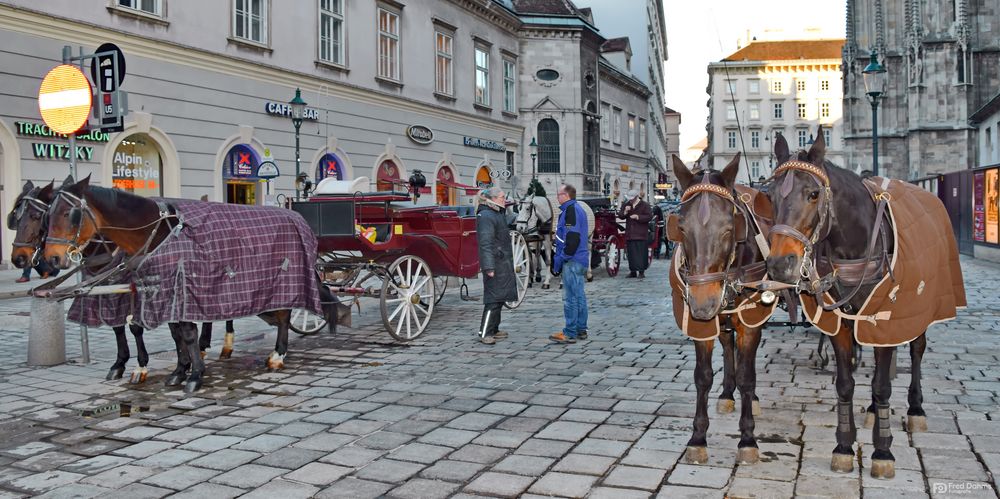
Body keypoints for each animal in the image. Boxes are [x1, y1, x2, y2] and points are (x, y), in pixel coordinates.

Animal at [43, 177, 338, 394]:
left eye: (70, 213)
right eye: (47, 215)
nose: (50, 259)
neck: (158, 233)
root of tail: (295, 216)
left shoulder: (181, 287)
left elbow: (186, 333)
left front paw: (194, 374)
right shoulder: (162, 292)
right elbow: (174, 333)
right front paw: (179, 370)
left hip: (289, 277)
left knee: (286, 313)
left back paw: (278, 354)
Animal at [668, 154, 776, 466]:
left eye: (729, 228)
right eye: (681, 228)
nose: (703, 303)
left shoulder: (751, 321)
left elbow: (748, 377)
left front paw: (748, 438)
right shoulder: (701, 325)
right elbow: (703, 377)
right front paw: (698, 437)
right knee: (728, 344)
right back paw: (728, 393)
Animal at [760, 130, 964, 480]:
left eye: (813, 193)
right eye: (771, 196)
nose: (779, 264)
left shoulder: (888, 316)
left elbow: (882, 385)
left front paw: (882, 450)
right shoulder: (842, 322)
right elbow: (845, 384)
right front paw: (844, 445)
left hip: (920, 306)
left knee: (916, 350)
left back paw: (915, 408)